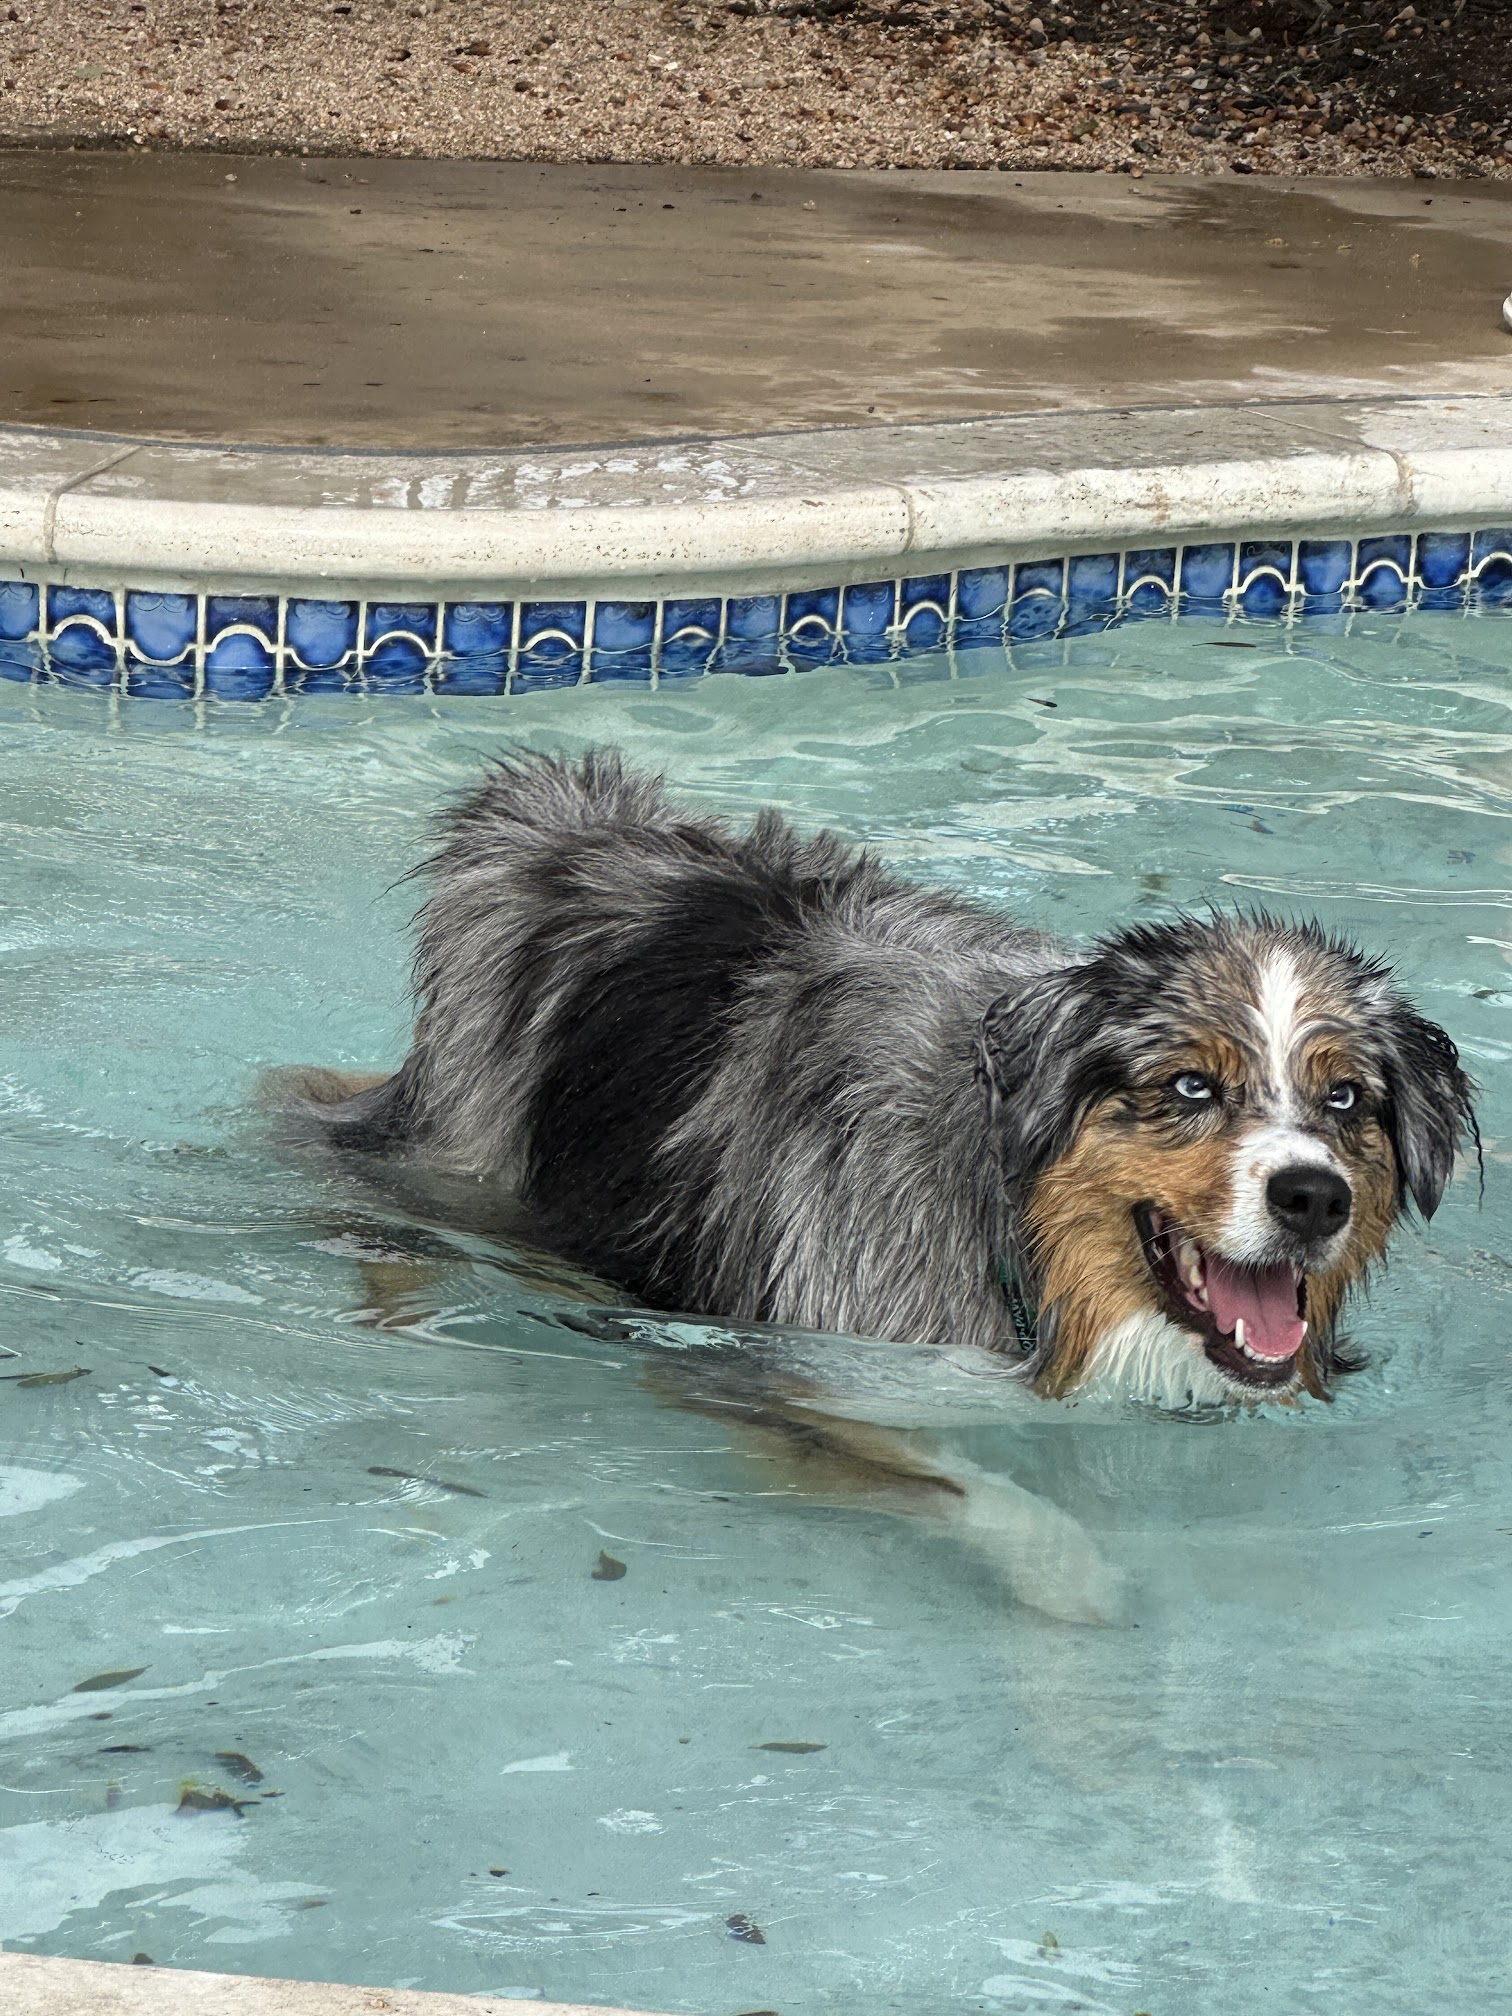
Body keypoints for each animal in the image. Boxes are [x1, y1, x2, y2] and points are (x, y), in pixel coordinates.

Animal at [278, 749, 1477, 1613]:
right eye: (1188, 1086)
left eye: (1345, 1100)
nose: (1313, 1198)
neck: (1025, 1266)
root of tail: (576, 810)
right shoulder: (806, 1376)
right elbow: (985, 1492)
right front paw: (1079, 1583)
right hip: (458, 1146)